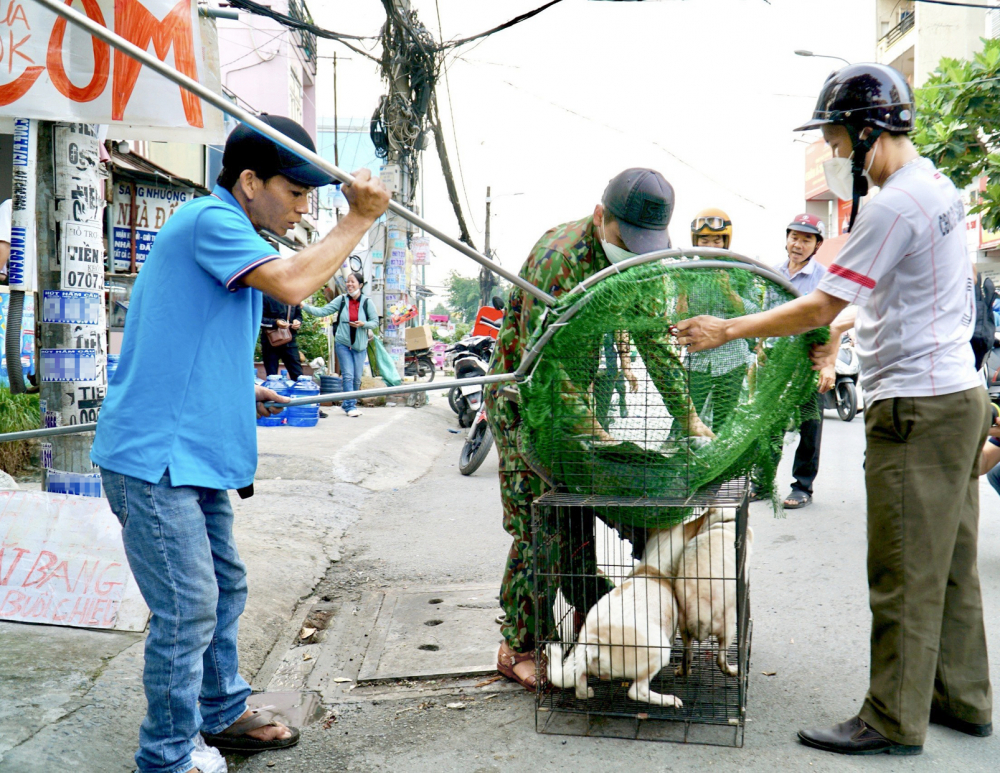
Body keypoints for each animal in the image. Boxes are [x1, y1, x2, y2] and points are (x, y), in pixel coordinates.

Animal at [548, 512, 712, 704]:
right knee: (637, 691)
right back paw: (668, 700)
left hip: (578, 656)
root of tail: (594, 641)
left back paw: (586, 691)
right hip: (661, 651)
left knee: (579, 685)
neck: (652, 568)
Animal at [672, 506, 752, 676]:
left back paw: (683, 671)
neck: (725, 522)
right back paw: (733, 670)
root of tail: (698, 609)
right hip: (729, 626)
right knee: (720, 659)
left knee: (687, 655)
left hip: (683, 627)